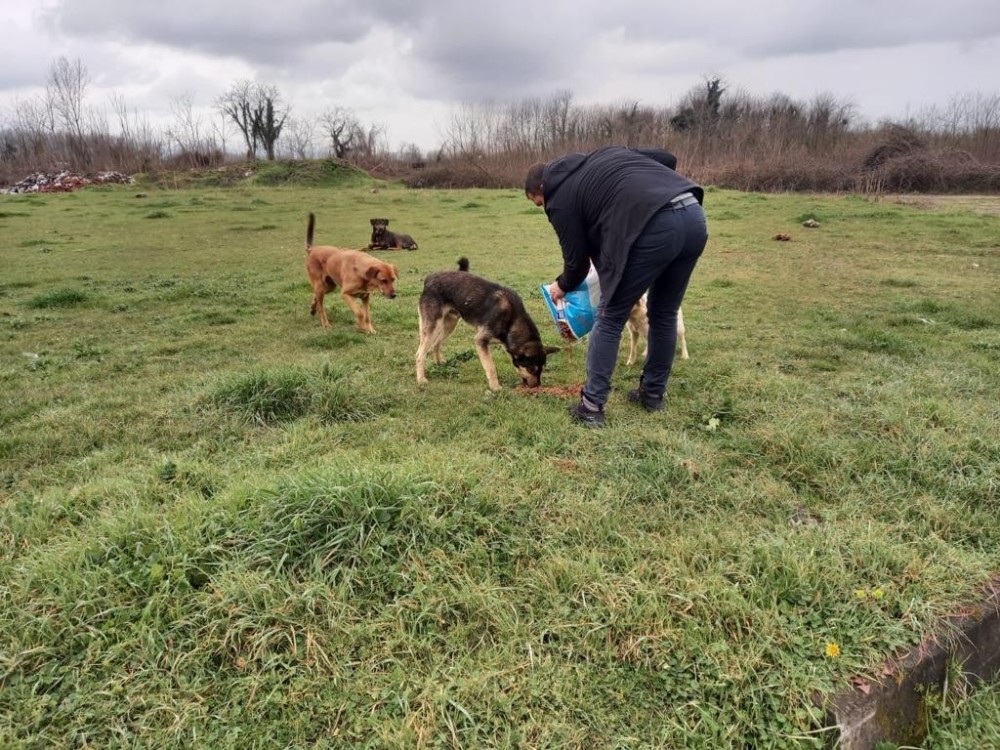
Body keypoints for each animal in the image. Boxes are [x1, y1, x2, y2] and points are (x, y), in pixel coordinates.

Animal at [416, 258, 564, 390]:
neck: (512, 319)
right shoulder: (480, 341)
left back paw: (439, 362)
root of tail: (429, 279)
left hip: (449, 324)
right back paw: (421, 379)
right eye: (531, 368)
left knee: (436, 343)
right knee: (420, 354)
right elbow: (492, 367)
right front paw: (495, 387)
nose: (537, 387)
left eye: (542, 369)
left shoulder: (502, 344)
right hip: (432, 327)